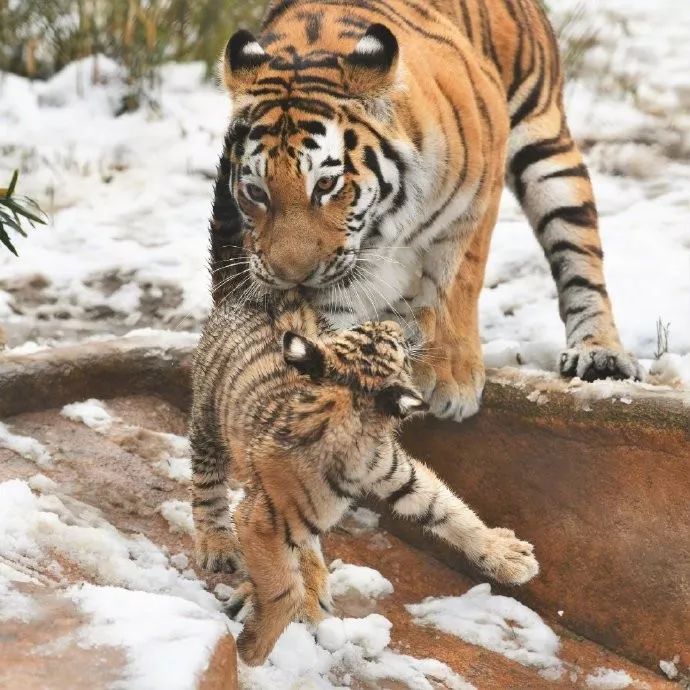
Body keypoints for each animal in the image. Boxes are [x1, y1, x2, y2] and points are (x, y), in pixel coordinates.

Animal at [210, 0, 640, 420]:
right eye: (255, 191)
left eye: (326, 185)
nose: (293, 277)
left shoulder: (477, 197)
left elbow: (454, 284)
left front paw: (452, 379)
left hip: (546, 148)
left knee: (579, 257)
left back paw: (599, 354)